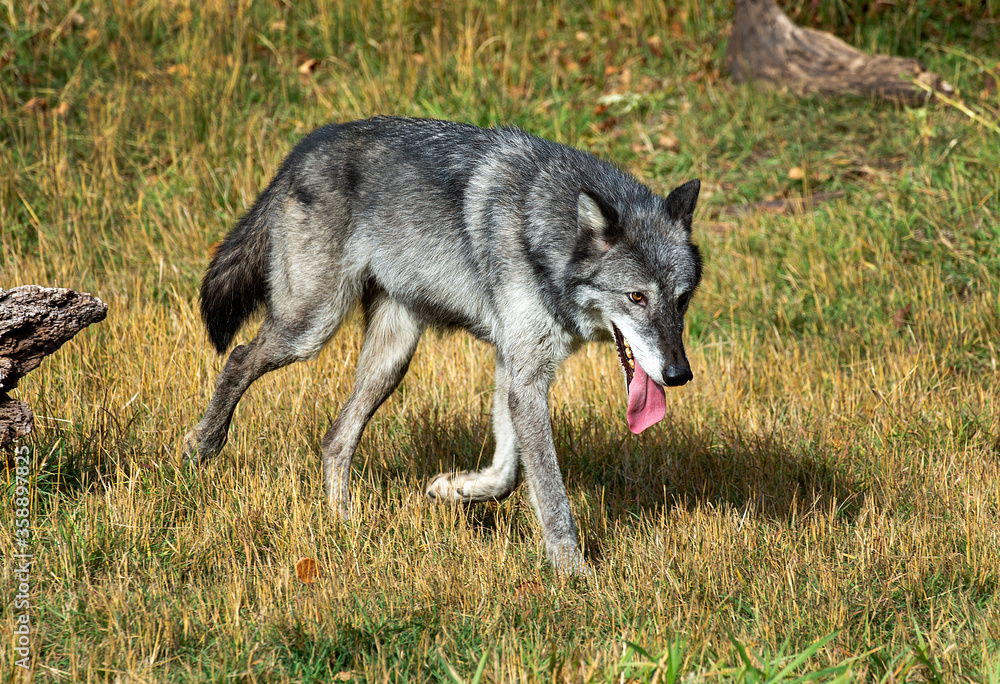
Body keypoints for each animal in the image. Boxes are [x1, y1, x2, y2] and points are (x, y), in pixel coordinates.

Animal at [182, 116, 702, 573]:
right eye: (636, 297)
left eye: (681, 300)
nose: (678, 375)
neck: (542, 230)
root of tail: (301, 151)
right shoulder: (526, 377)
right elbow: (551, 495)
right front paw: (574, 576)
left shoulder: (516, 367)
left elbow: (508, 474)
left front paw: (452, 489)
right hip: (310, 329)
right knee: (238, 358)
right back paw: (201, 446)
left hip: (392, 360)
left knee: (335, 438)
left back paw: (343, 526)